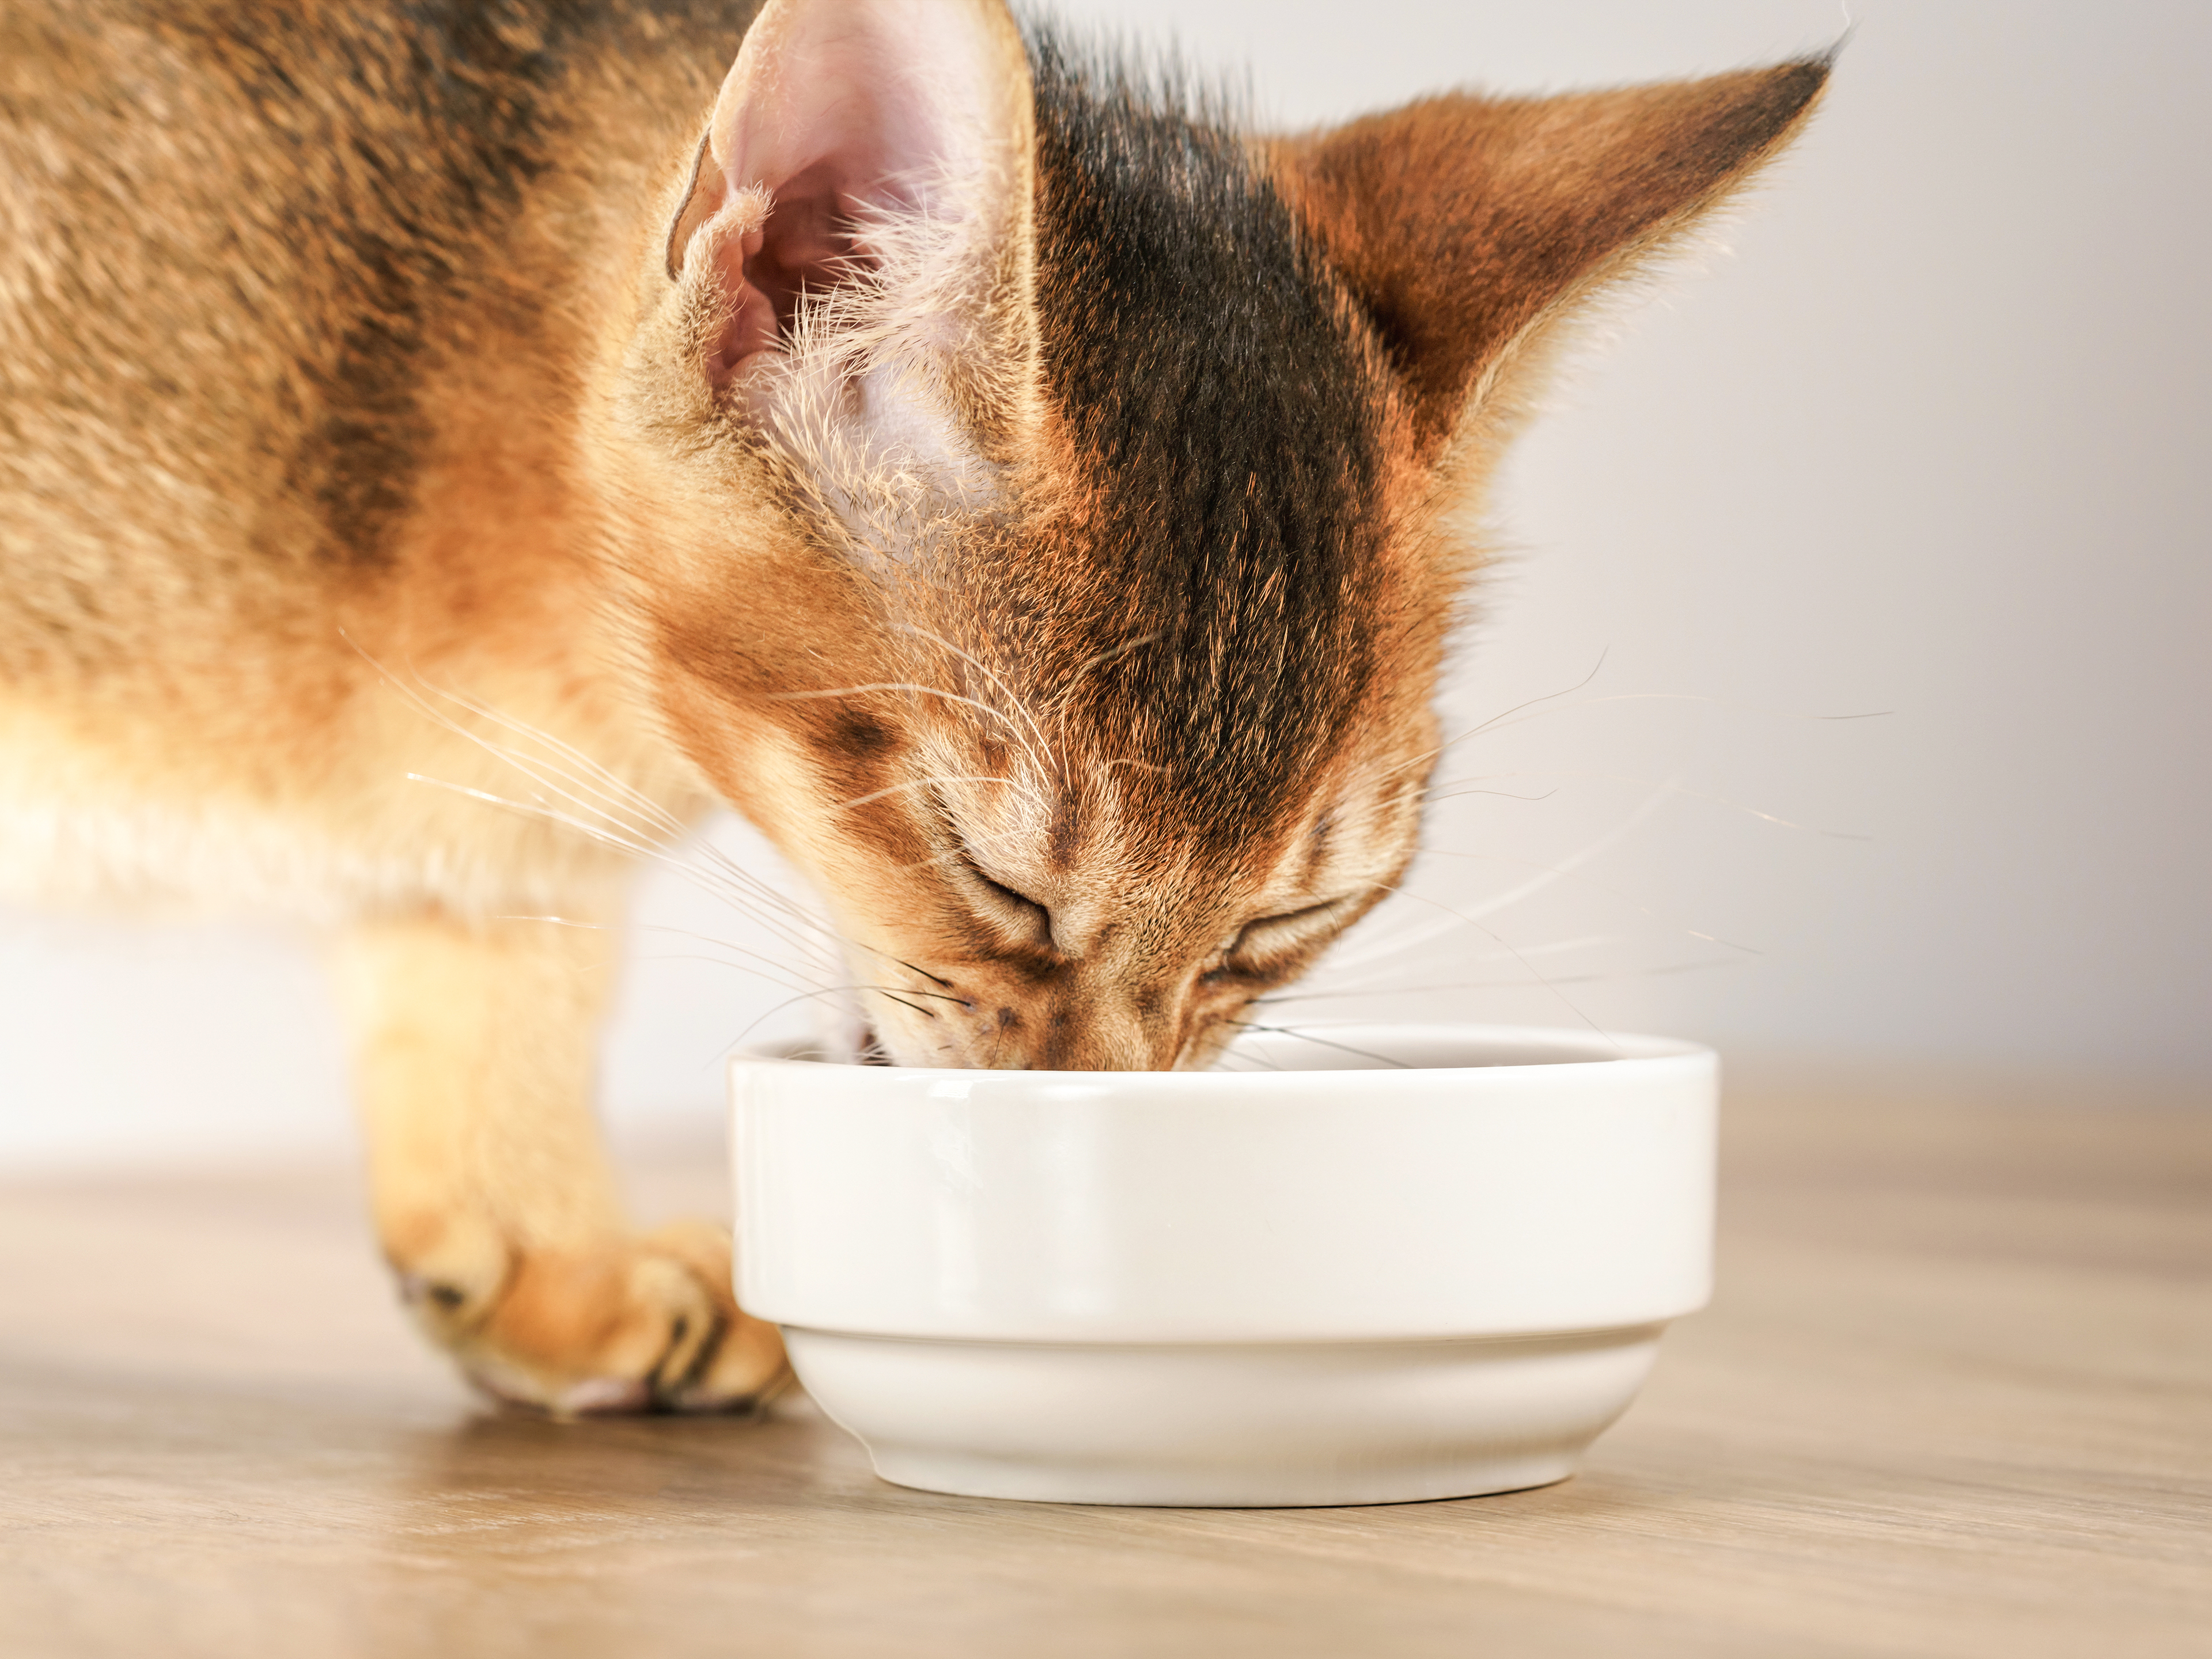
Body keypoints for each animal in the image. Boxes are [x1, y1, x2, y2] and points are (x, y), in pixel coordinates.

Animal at [0, 0, 1823, 1415]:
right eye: (991, 872)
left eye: (1281, 924)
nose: (1095, 1121)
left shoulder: (491, 834)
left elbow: (488, 962)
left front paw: (549, 1263)